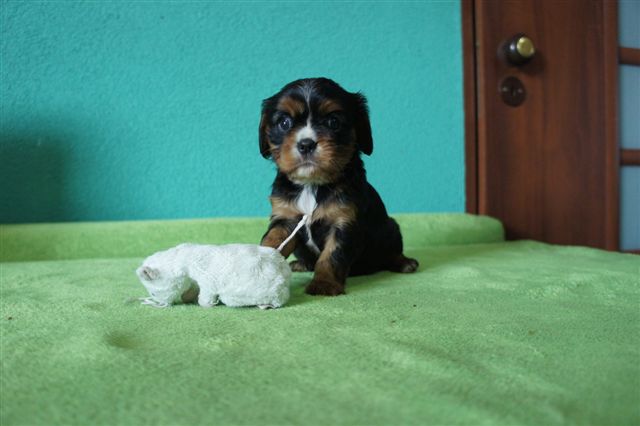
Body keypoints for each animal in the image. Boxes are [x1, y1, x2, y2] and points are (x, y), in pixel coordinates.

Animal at [259, 78, 418, 296]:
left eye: (333, 122)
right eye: (284, 123)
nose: (306, 144)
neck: (311, 184)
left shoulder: (344, 221)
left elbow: (332, 255)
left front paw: (324, 284)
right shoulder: (285, 218)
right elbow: (272, 240)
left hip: (391, 228)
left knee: (392, 252)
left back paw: (404, 263)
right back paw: (301, 264)